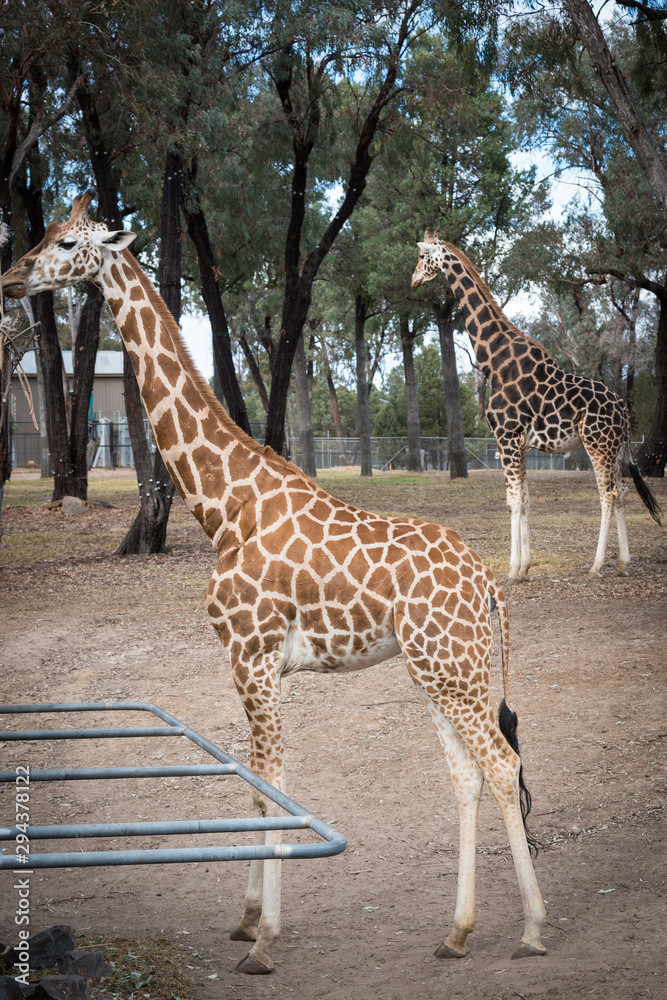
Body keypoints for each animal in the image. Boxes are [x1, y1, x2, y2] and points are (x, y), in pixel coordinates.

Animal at [2, 192, 547, 972]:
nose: (12, 278)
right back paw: (457, 932)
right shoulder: (254, 664)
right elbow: (259, 784)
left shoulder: (250, 657)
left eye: (67, 242)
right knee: (468, 774)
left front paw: (262, 940)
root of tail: (489, 585)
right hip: (440, 671)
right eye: (45, 230)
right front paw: (248, 920)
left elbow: (270, 787)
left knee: (501, 765)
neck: (222, 503)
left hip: (452, 669)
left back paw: (532, 928)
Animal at [412, 234, 662, 583]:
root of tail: (623, 412)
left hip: (597, 445)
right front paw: (525, 567)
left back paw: (597, 565)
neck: (494, 362)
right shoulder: (519, 444)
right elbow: (526, 500)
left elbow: (513, 501)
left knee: (608, 495)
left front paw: (512, 571)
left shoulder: (506, 437)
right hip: (614, 449)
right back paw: (624, 562)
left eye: (422, 256)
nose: (413, 280)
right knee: (623, 492)